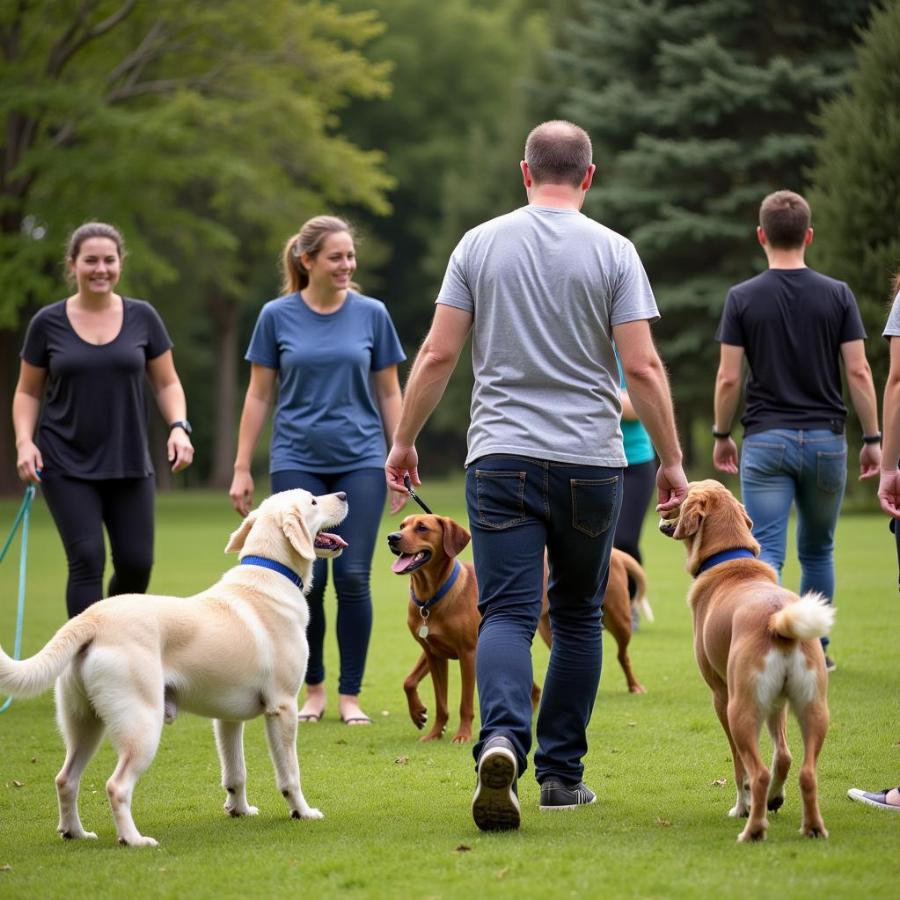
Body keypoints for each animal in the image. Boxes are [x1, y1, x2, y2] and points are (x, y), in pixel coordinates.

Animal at [0, 488, 348, 848]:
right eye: (312, 501)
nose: (342, 494)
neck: (272, 572)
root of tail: (92, 617)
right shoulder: (283, 708)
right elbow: (290, 774)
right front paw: (302, 812)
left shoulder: (227, 719)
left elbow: (235, 772)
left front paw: (239, 810)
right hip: (142, 725)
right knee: (116, 786)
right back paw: (134, 840)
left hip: (85, 724)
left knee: (65, 779)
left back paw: (76, 832)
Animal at [388, 510, 652, 740]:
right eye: (402, 525)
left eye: (422, 528)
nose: (392, 537)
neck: (432, 598)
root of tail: (614, 553)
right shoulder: (433, 652)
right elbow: (416, 687)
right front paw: (426, 724)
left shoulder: (468, 654)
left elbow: (465, 703)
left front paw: (462, 735)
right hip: (548, 633)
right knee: (537, 686)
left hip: (618, 619)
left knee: (623, 655)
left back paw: (635, 685)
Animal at [656, 482, 832, 840]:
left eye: (684, 492)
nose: (664, 503)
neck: (730, 559)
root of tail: (778, 622)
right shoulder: (776, 703)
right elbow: (782, 755)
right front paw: (773, 800)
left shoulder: (720, 696)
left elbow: (740, 768)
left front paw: (743, 806)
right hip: (811, 707)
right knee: (800, 767)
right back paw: (809, 825)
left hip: (741, 710)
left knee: (759, 771)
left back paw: (752, 829)